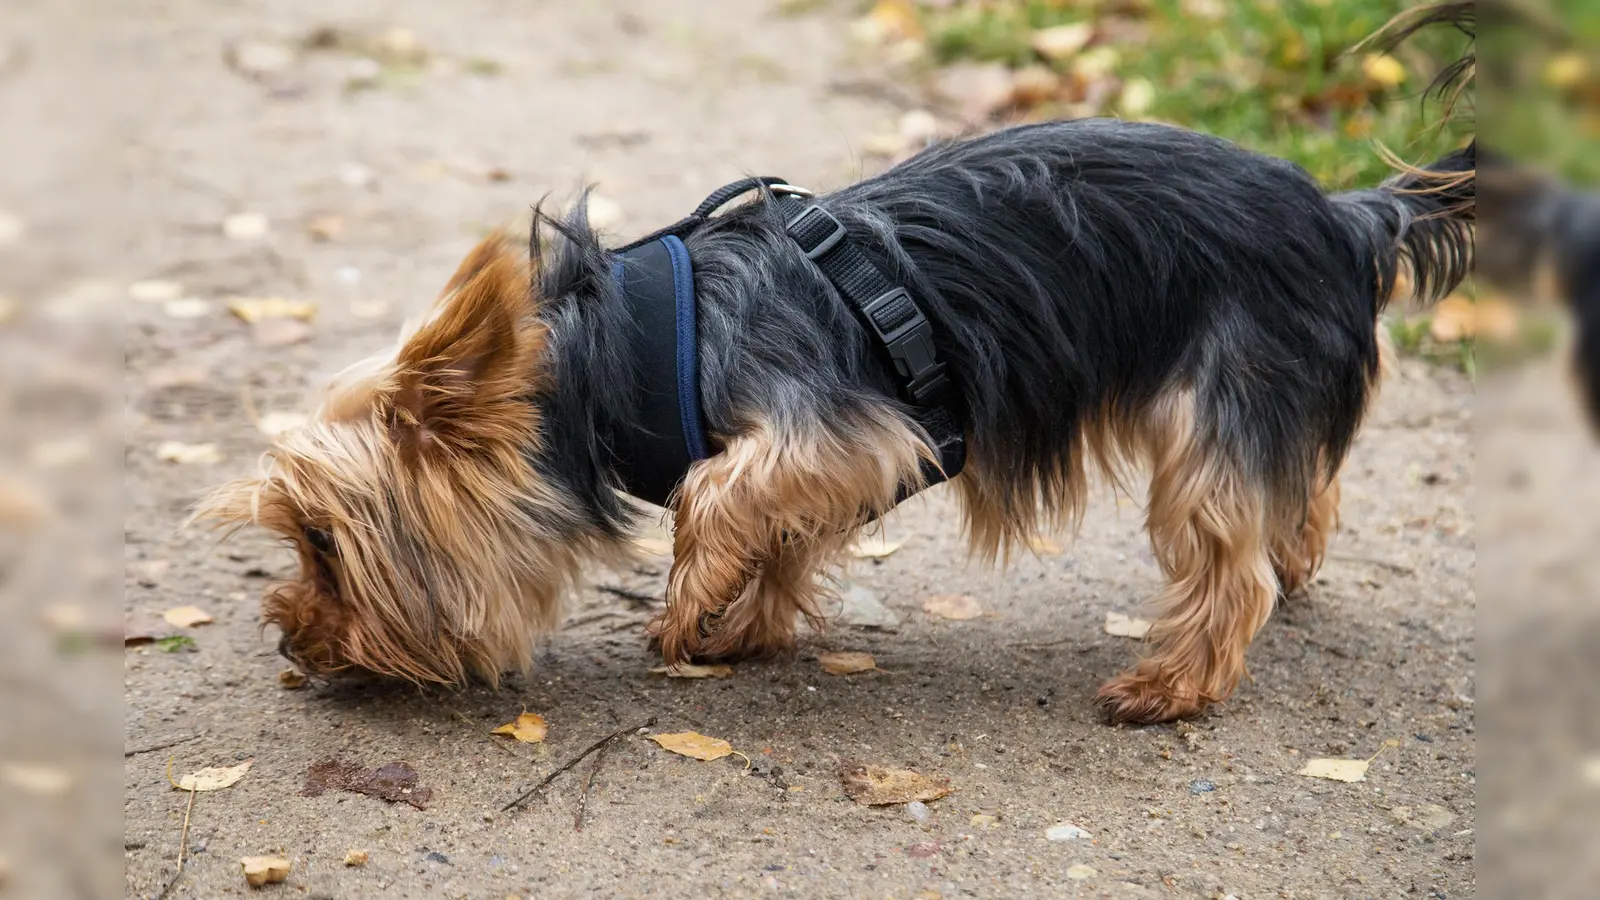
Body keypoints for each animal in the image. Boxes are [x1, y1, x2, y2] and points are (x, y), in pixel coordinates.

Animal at [200, 21, 1472, 723]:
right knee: (1299, 491)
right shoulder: (840, 450)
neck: (627, 351)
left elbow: (718, 495)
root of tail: (1346, 214)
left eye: (323, 543)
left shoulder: (844, 425)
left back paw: (1175, 686)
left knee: (1224, 559)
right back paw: (1295, 555)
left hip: (1219, 397)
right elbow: (779, 526)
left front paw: (687, 606)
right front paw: (741, 622)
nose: (289, 638)